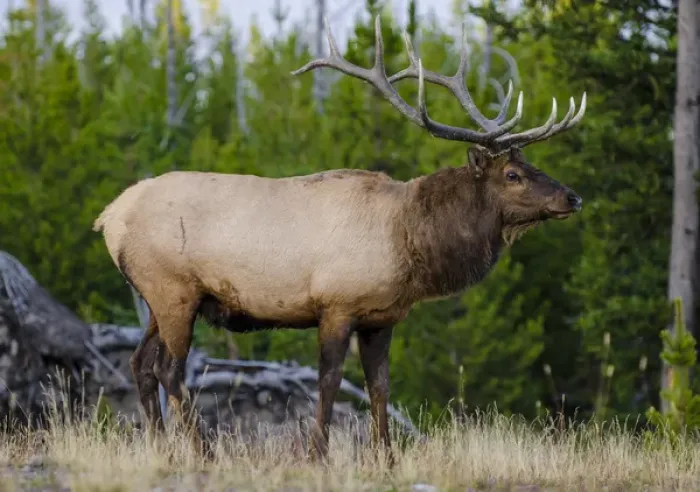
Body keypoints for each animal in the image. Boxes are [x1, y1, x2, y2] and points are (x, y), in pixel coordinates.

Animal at [92, 16, 586, 463]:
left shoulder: (381, 318)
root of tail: (109, 217)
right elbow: (328, 382)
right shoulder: (335, 305)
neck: (409, 240)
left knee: (140, 364)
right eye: (513, 174)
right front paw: (318, 455)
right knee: (169, 369)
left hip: (159, 297)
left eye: (532, 165)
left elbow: (379, 386)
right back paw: (203, 452)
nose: (572, 196)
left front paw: (386, 458)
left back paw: (161, 450)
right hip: (174, 289)